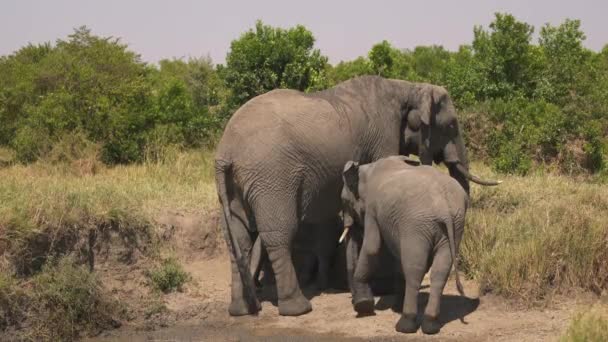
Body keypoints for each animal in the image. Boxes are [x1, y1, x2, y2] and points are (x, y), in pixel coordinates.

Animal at [215, 75, 498, 318]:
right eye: (450, 126)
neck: (406, 86)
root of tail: (225, 152)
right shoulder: (383, 135)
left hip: (235, 184)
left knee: (238, 239)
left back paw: (241, 310)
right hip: (271, 177)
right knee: (278, 235)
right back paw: (298, 309)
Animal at [340, 156, 468, 336]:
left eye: (344, 201)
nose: (353, 301)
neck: (366, 169)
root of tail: (444, 207)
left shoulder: (372, 208)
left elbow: (372, 247)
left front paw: (363, 306)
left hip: (416, 225)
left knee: (415, 270)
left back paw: (405, 325)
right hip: (454, 225)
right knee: (439, 272)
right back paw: (431, 326)